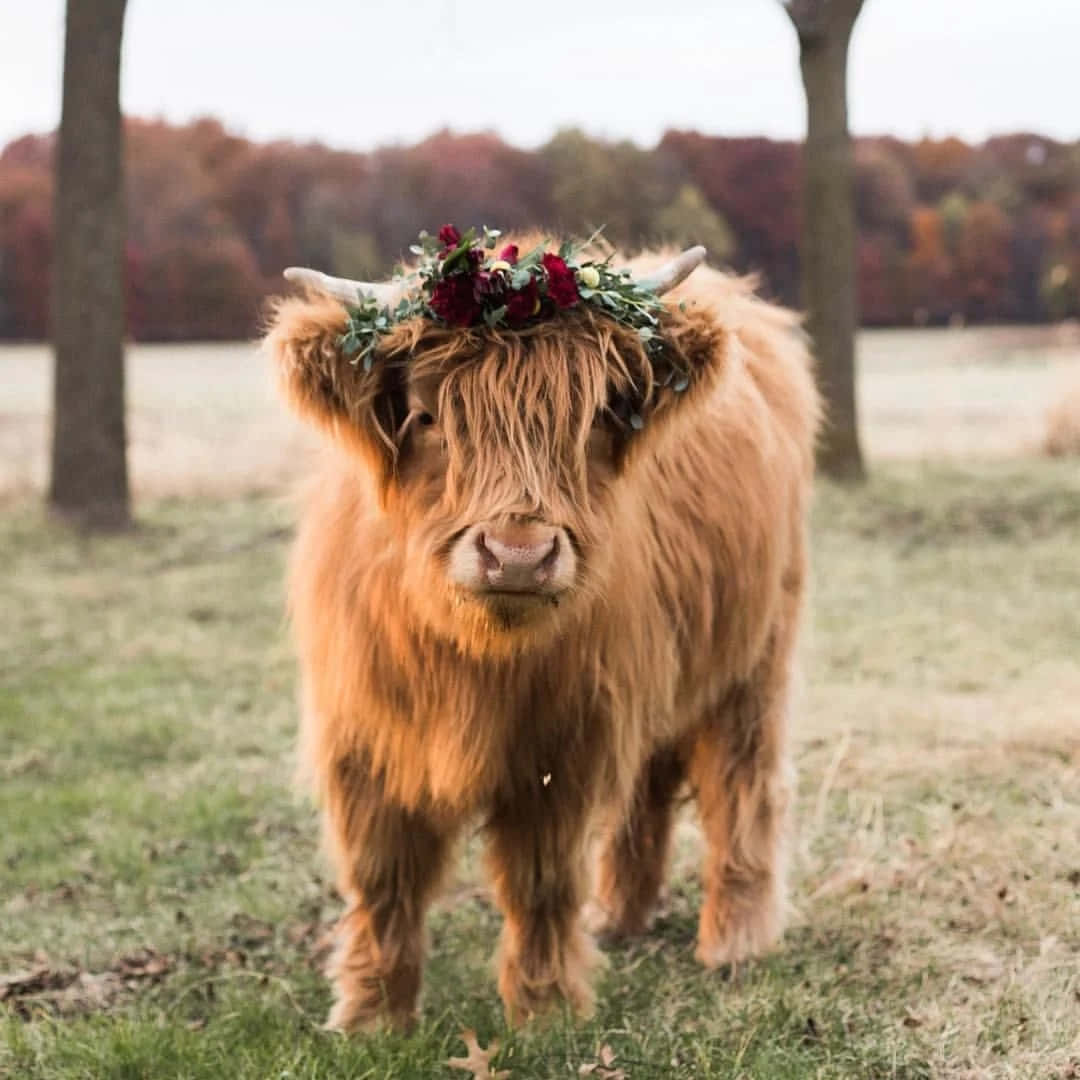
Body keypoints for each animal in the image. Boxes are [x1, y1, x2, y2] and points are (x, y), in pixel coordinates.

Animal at [261, 234, 816, 1028]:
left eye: (594, 416)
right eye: (427, 415)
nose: (519, 555)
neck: (472, 654)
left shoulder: (562, 745)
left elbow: (539, 879)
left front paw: (544, 1010)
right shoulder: (365, 737)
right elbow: (383, 879)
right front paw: (371, 1016)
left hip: (755, 659)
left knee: (743, 784)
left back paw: (735, 940)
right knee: (647, 788)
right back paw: (619, 916)